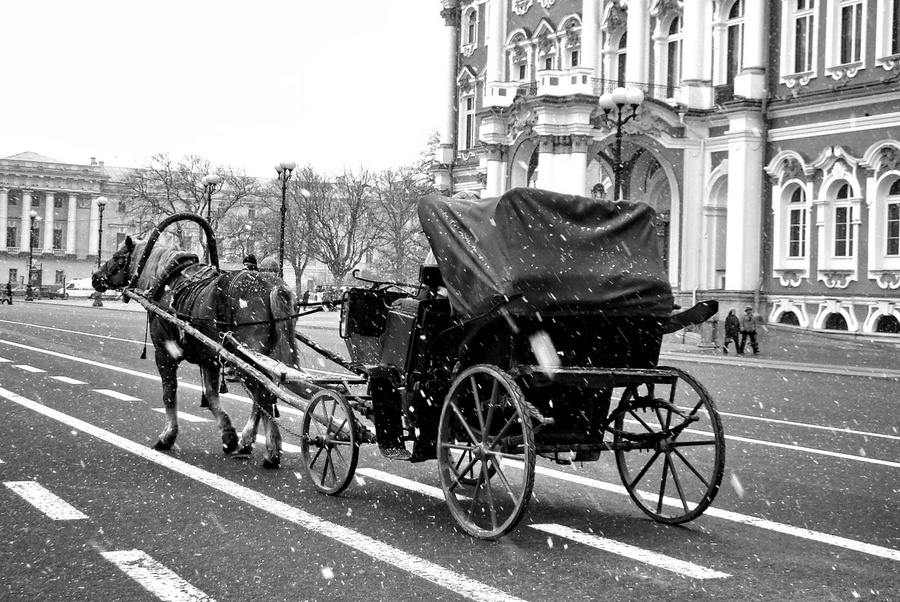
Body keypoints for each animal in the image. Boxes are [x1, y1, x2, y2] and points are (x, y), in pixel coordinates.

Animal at [94, 232, 298, 466]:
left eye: (117, 258)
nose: (95, 276)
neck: (167, 282)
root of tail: (271, 284)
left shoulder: (164, 354)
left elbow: (169, 394)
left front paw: (167, 436)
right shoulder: (209, 359)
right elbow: (211, 396)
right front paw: (229, 436)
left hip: (245, 357)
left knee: (263, 394)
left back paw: (272, 451)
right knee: (263, 395)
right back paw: (247, 442)